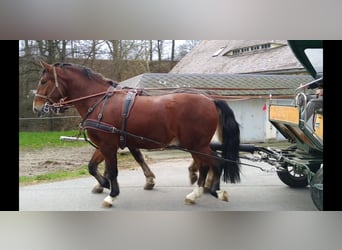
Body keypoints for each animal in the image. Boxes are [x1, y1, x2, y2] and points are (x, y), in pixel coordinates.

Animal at [32, 61, 240, 207]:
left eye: (43, 81)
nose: (37, 108)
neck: (100, 101)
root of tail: (210, 99)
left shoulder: (109, 144)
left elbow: (112, 170)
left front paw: (111, 195)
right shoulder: (106, 144)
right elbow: (92, 166)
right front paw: (104, 184)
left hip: (196, 144)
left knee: (215, 163)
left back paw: (214, 191)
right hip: (195, 144)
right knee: (205, 165)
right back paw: (196, 193)